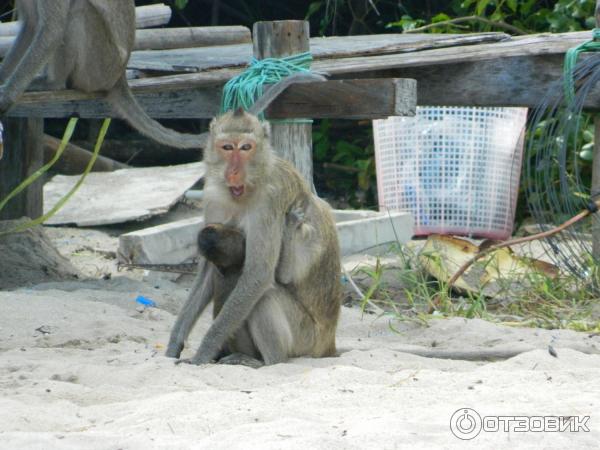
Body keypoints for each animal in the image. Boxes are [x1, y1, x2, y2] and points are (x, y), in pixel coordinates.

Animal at [165, 108, 342, 366]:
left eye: (246, 147)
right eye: (227, 147)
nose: (234, 172)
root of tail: (329, 342)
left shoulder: (270, 200)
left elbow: (258, 275)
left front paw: (202, 354)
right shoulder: (214, 198)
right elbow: (207, 272)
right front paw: (174, 344)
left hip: (307, 338)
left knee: (264, 297)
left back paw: (267, 361)